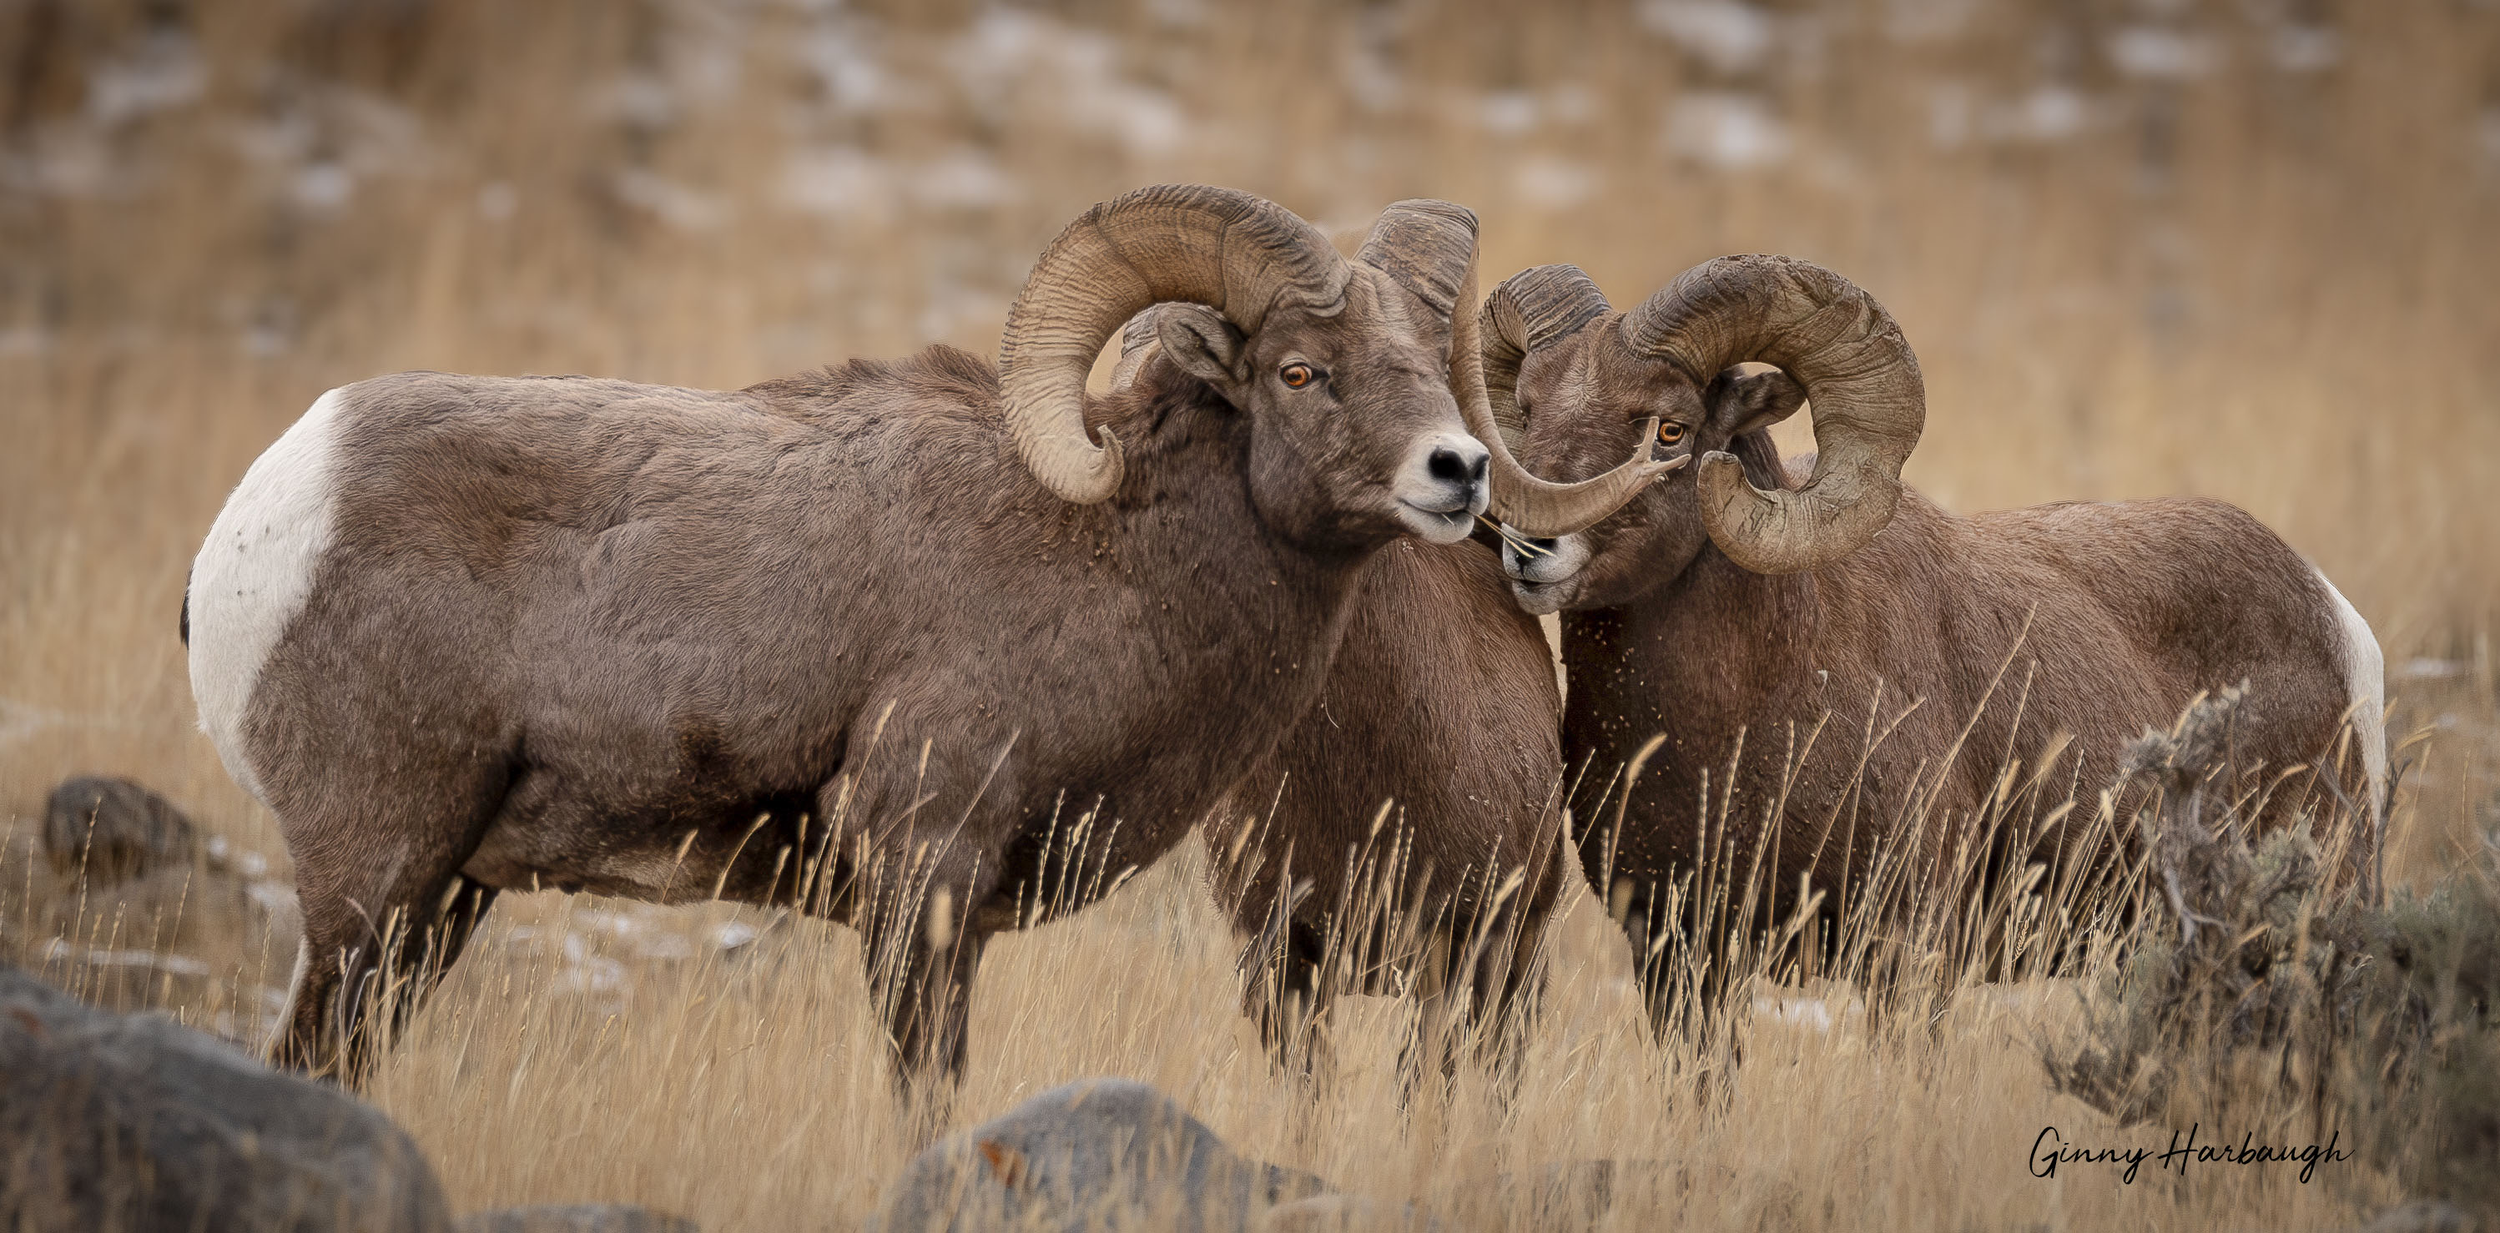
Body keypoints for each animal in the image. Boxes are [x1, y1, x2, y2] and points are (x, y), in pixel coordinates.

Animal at [181, 185, 1665, 1087]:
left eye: (1428, 366)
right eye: (1300, 371)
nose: (1457, 473)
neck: (1106, 559)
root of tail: (268, 510)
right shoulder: (923, 880)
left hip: (442, 905)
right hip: (377, 882)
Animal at [1474, 256, 2387, 1029]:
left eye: (1669, 430)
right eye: (1531, 411)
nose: (1526, 544)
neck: (1731, 729)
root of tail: (2337, 619)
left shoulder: (1906, 950)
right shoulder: (1679, 956)